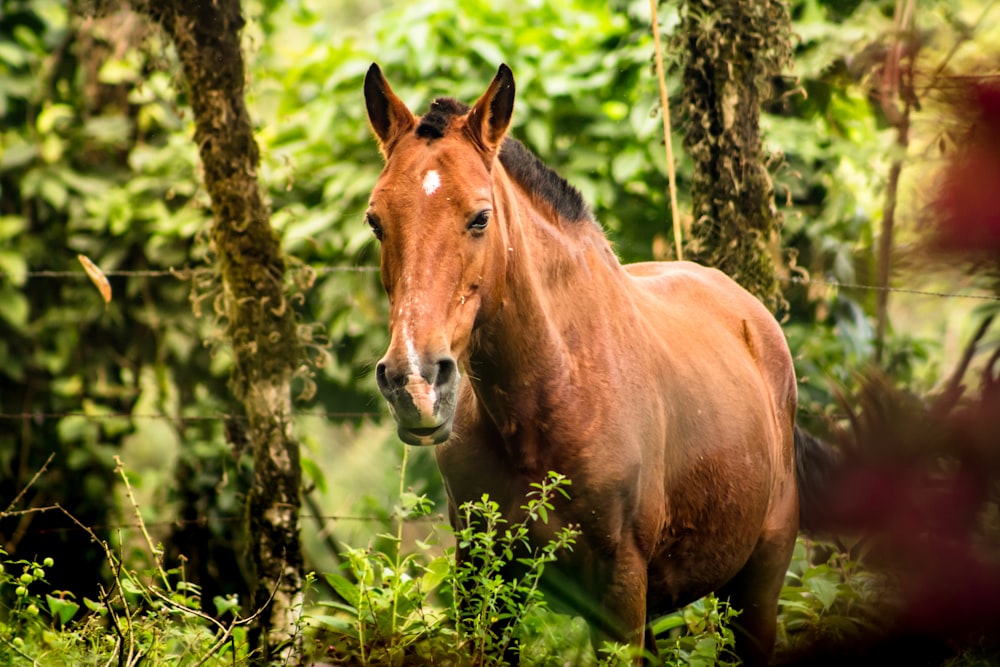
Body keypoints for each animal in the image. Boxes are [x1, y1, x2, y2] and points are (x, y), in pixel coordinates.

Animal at [366, 61, 812, 664]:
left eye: (480, 217)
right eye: (375, 221)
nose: (414, 382)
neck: (550, 395)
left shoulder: (619, 588)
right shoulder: (484, 578)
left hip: (755, 591)